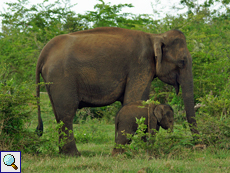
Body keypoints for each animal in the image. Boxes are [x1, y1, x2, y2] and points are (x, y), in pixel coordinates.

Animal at [35, 26, 198, 155]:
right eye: (183, 61)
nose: (199, 146)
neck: (155, 36)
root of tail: (43, 53)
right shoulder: (141, 64)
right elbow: (134, 99)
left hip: (52, 80)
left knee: (58, 113)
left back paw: (63, 153)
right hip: (62, 77)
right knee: (67, 112)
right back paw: (74, 155)